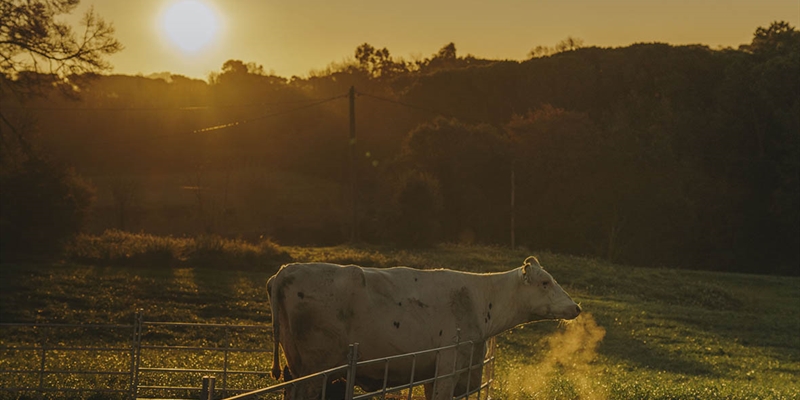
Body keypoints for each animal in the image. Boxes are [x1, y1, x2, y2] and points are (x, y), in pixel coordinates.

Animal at [268, 255, 580, 398]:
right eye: (545, 282)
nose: (576, 307)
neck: (478, 299)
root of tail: (285, 270)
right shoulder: (448, 366)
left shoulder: (435, 372)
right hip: (315, 369)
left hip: (298, 367)